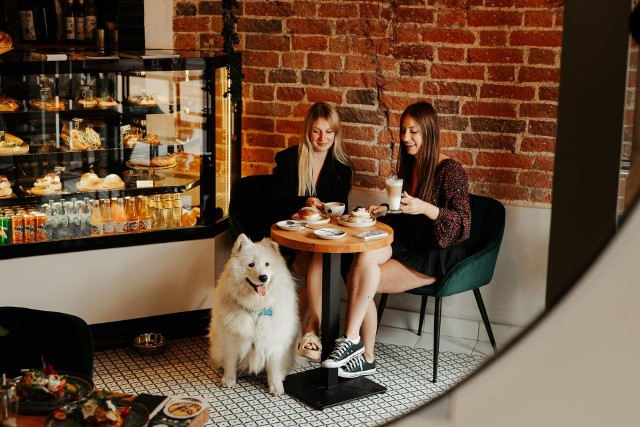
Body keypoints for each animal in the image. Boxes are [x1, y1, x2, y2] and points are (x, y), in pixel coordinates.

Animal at [210, 234, 300, 398]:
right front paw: (229, 379)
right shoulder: (231, 340)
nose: (263, 277)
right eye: (251, 264)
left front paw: (276, 386)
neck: (256, 309)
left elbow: (274, 369)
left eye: (267, 264)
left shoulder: (274, 343)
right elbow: (230, 362)